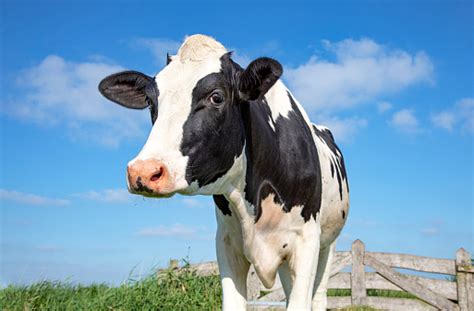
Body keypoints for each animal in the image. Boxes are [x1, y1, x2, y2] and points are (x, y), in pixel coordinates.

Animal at [98, 34, 348, 311]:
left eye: (216, 97)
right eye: (151, 102)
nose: (143, 171)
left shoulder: (306, 241)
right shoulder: (227, 243)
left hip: (328, 244)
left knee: (319, 295)